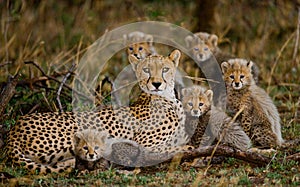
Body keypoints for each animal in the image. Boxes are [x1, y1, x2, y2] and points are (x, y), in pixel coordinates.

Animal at [4, 49, 192, 174]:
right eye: (146, 70)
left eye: (165, 69)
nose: (156, 84)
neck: (167, 98)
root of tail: (15, 128)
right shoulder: (145, 146)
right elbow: (172, 148)